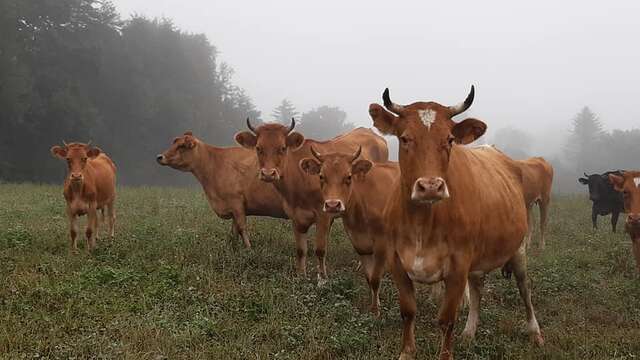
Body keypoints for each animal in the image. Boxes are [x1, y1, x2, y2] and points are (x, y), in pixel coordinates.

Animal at [155, 132, 288, 248]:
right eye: (174, 143)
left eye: (182, 146)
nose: (159, 157)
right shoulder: (233, 207)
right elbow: (234, 231)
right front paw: (233, 248)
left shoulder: (236, 202)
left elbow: (242, 227)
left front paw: (249, 249)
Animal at [234, 119, 388, 282]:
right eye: (258, 148)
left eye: (282, 148)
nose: (269, 174)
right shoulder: (295, 216)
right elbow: (301, 250)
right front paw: (301, 275)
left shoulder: (324, 215)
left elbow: (320, 249)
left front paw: (323, 278)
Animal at [300, 145, 400, 314]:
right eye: (321, 176)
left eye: (348, 177)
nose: (332, 205)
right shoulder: (360, 244)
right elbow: (369, 278)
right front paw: (374, 306)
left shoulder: (382, 244)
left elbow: (376, 279)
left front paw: (376, 312)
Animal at [368, 88, 544, 360]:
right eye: (404, 138)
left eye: (450, 139)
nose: (431, 186)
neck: (421, 225)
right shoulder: (396, 261)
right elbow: (408, 311)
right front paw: (407, 352)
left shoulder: (458, 266)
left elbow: (446, 319)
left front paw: (445, 354)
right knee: (478, 287)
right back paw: (469, 333)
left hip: (518, 248)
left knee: (525, 287)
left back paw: (535, 332)